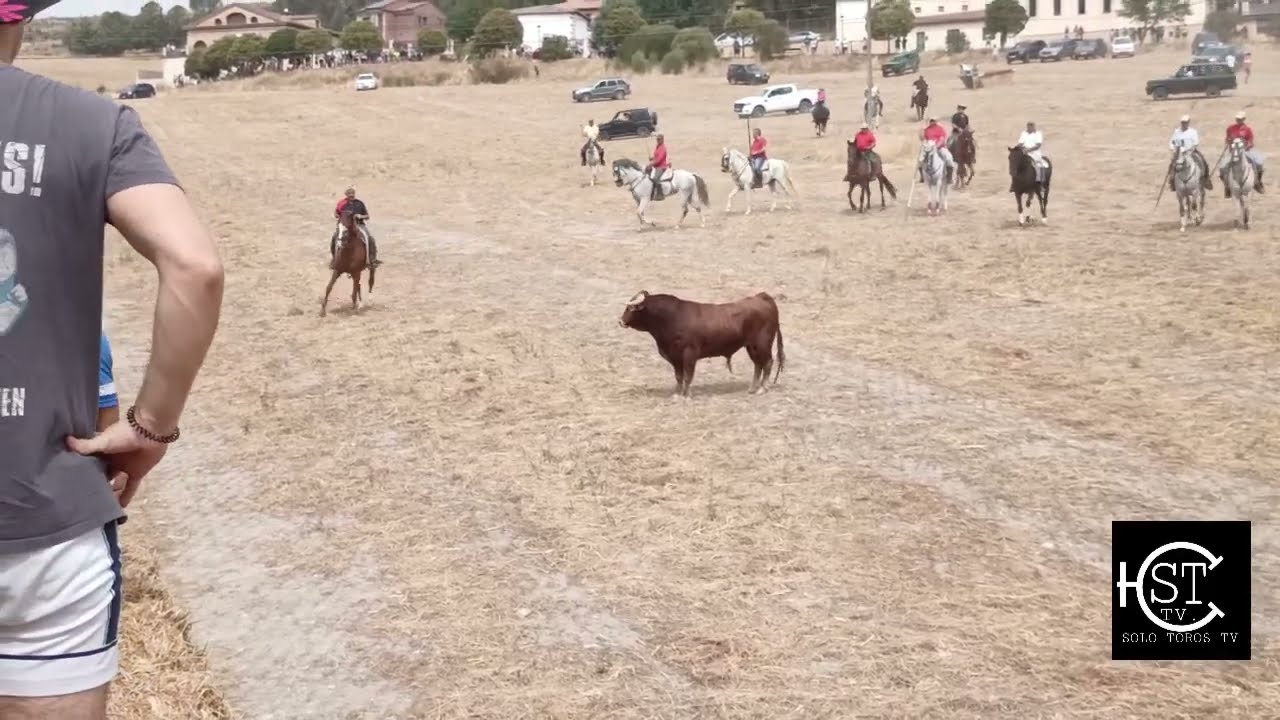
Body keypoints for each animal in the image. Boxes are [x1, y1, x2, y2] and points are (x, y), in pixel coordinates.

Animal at [618, 290, 785, 398]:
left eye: (630, 308)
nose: (620, 321)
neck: (671, 318)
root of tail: (762, 297)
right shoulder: (675, 357)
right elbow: (679, 377)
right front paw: (677, 394)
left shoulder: (689, 354)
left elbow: (688, 376)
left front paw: (687, 395)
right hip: (751, 346)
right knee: (758, 365)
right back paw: (752, 388)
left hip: (762, 344)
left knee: (767, 363)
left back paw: (762, 388)